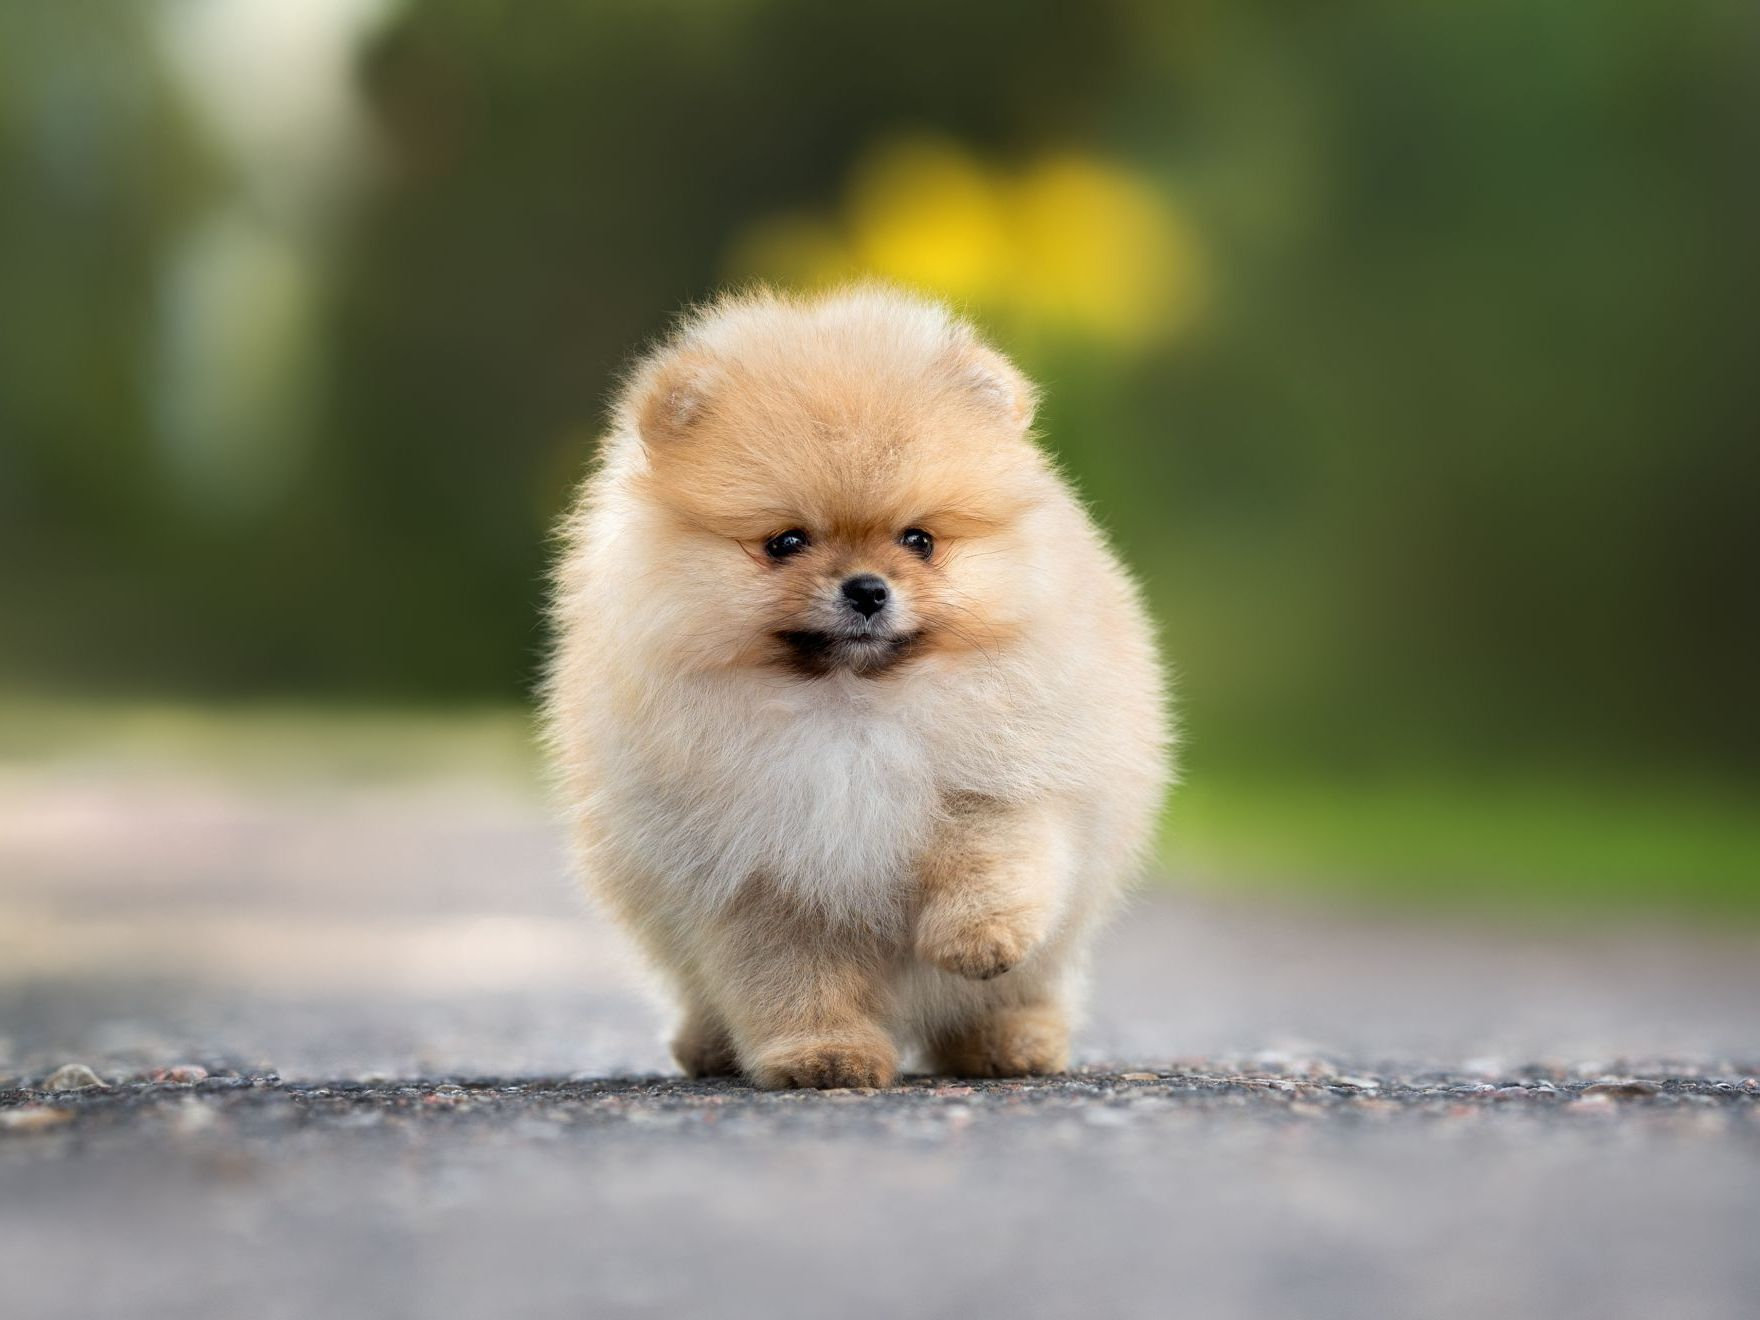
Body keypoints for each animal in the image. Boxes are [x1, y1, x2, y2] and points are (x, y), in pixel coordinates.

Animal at [545, 285, 1168, 1091]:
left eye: (919, 540)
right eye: (786, 542)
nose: (867, 589)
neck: (853, 707)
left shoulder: (1014, 776)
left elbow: (996, 855)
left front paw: (977, 939)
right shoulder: (760, 873)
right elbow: (794, 978)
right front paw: (823, 1055)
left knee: (1028, 984)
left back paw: (1012, 1041)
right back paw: (708, 1045)